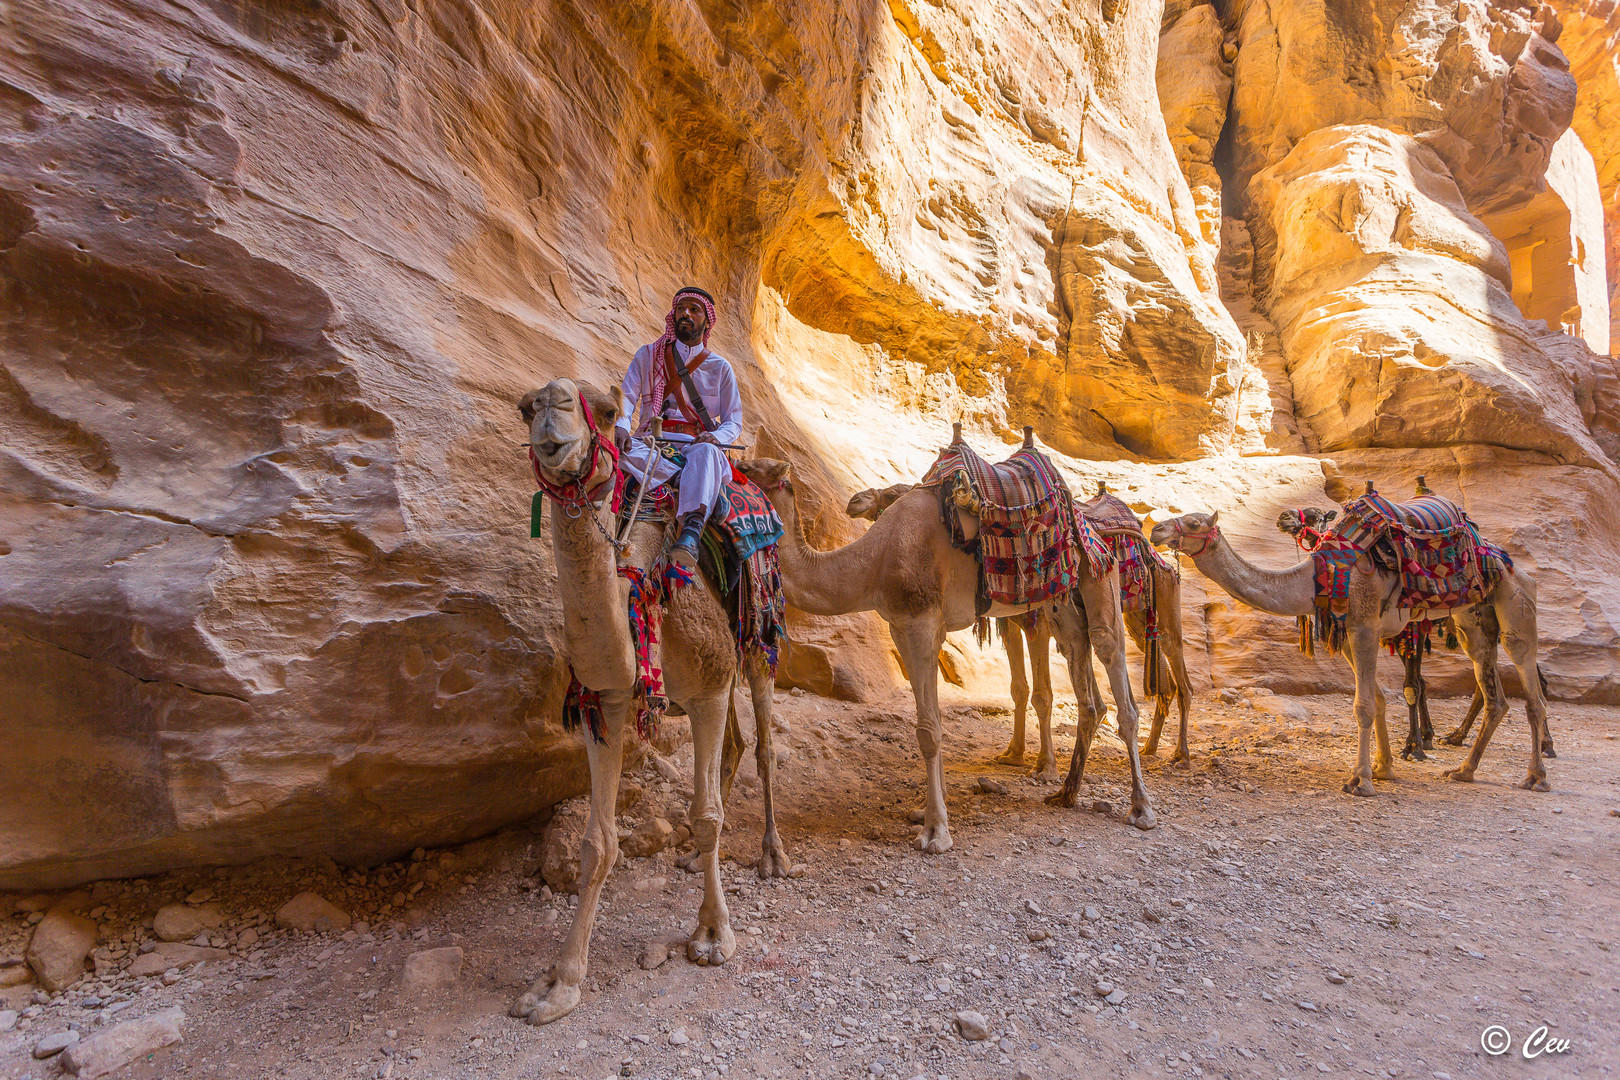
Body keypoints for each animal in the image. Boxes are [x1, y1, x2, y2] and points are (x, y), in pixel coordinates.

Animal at [505, 382, 784, 1029]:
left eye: (606, 411)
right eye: (527, 407)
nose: (553, 407)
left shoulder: (708, 686)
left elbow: (708, 817)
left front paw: (713, 936)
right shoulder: (604, 703)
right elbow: (597, 845)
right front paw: (558, 984)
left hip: (757, 635)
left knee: (762, 745)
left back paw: (772, 856)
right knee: (736, 745)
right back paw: (693, 861)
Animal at [848, 482, 1192, 767]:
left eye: (894, 495)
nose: (855, 500)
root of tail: (1155, 550)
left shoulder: (1036, 625)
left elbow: (1042, 693)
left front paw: (1044, 764)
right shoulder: (1012, 624)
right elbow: (1018, 688)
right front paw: (1013, 753)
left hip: (1164, 598)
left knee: (1178, 669)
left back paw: (1181, 755)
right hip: (1136, 618)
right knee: (1159, 678)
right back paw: (1149, 747)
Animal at [1146, 511, 1548, 799]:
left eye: (1193, 522)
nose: (1157, 530)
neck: (1316, 577)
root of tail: (1511, 563)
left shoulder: (1365, 624)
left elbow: (1364, 705)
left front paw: (1362, 782)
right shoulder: (1346, 633)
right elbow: (1379, 698)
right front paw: (1383, 768)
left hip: (1515, 600)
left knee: (1531, 687)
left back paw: (1536, 776)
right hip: (1471, 618)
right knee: (1494, 693)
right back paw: (1464, 770)